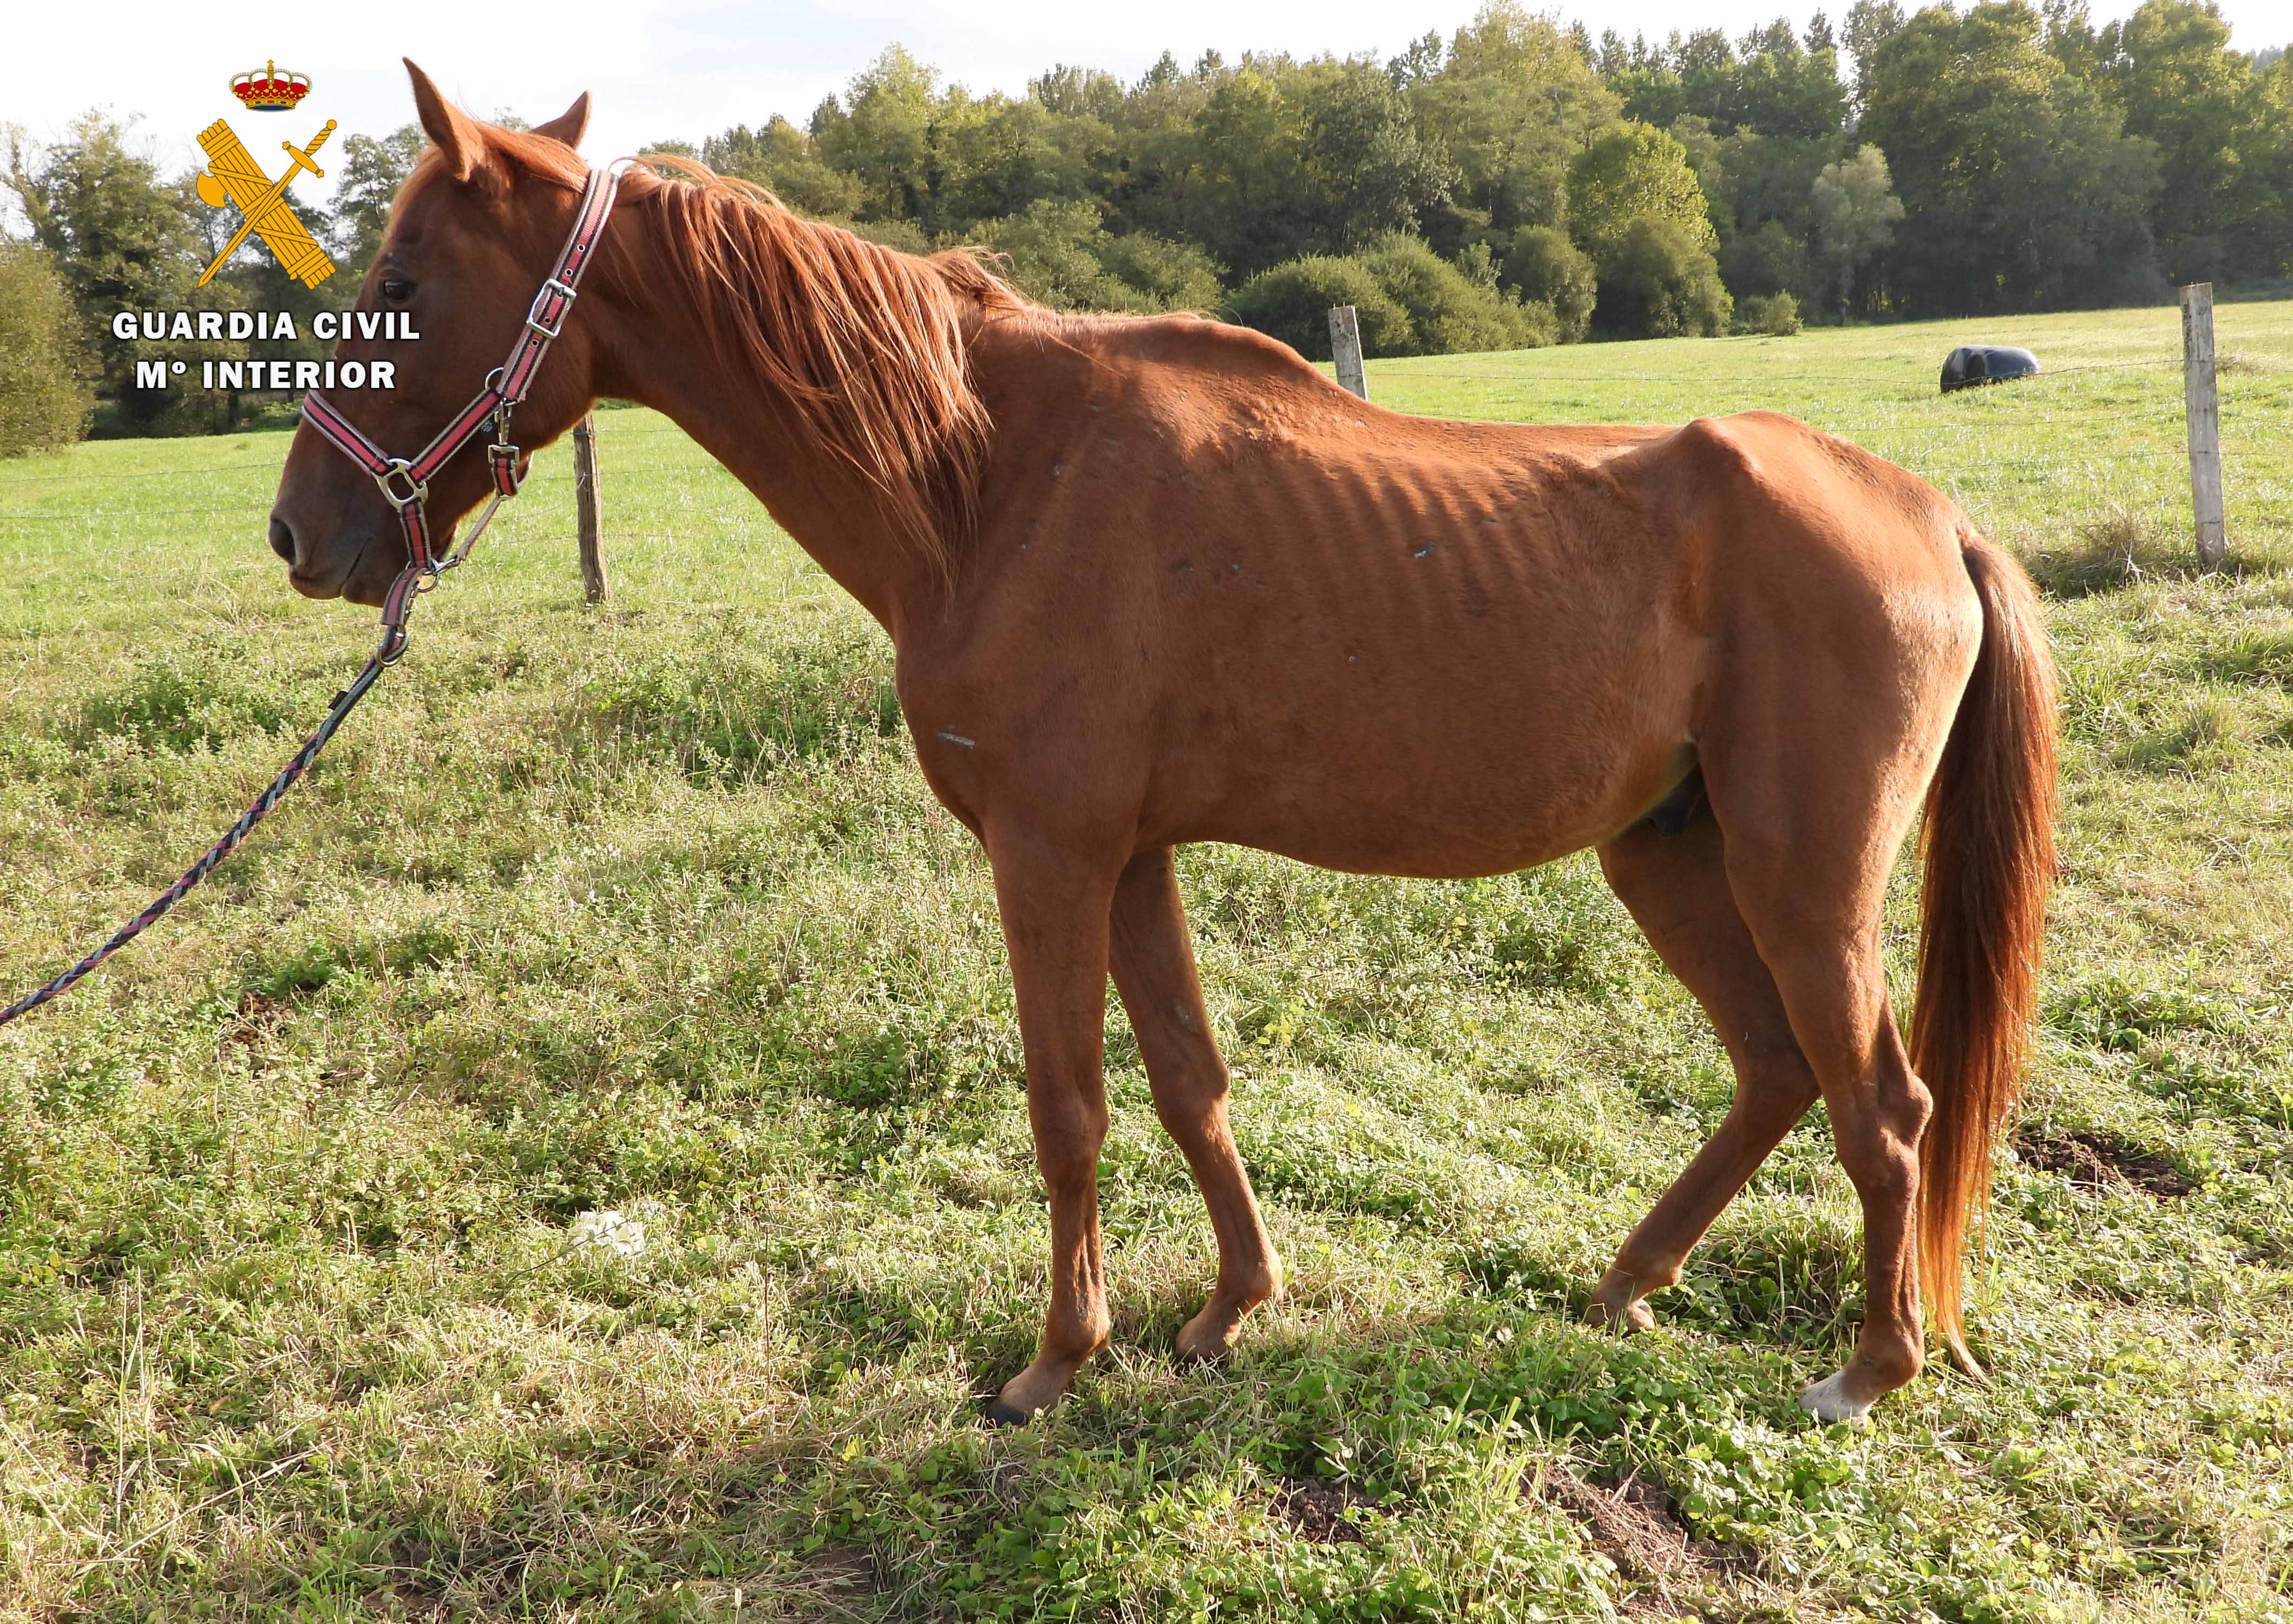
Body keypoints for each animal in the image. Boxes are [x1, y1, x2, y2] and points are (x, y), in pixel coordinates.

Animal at [268, 69, 2063, 1431]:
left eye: (402, 286)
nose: (301, 531)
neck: (989, 478)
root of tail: (1928, 515)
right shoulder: (1130, 856)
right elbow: (1190, 1082)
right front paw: (1224, 1313)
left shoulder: (1049, 854)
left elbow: (1067, 1104)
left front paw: (1059, 1360)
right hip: (1667, 854)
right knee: (1774, 1073)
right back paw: (1623, 1288)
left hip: (1798, 876)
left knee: (1881, 1102)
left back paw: (1867, 1369)